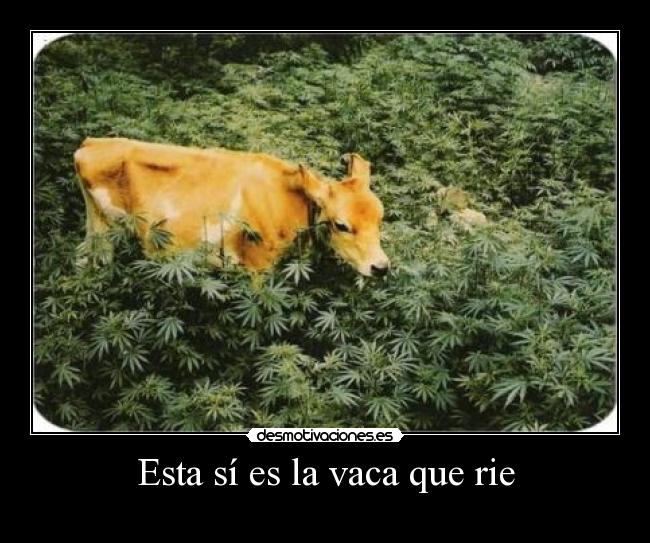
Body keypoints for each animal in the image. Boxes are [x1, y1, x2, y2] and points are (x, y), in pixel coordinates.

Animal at [74, 138, 390, 277]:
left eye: (380, 219)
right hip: (104, 231)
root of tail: (92, 142)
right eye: (342, 225)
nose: (381, 267)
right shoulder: (257, 265)